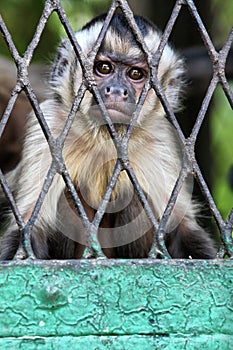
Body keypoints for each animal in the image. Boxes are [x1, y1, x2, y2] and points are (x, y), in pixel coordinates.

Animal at [0, 13, 217, 260]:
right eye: (104, 68)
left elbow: (182, 229)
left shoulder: (161, 138)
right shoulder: (49, 126)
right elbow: (29, 228)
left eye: (135, 74)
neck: (106, 138)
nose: (115, 90)